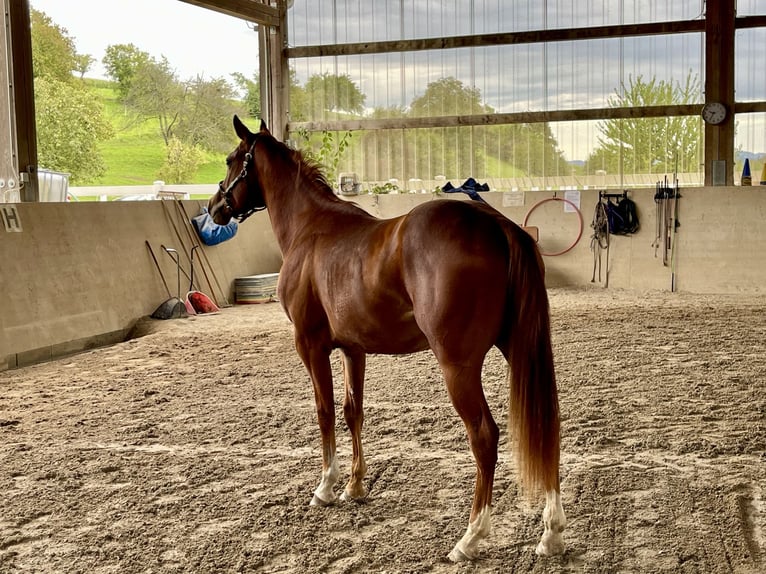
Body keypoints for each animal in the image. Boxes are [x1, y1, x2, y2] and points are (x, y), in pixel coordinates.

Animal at [208, 115, 566, 561]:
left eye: (230, 160)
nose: (214, 207)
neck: (311, 228)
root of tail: (497, 226)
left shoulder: (309, 344)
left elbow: (324, 411)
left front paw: (326, 488)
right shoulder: (353, 349)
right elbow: (352, 412)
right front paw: (355, 485)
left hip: (458, 366)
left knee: (484, 437)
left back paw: (470, 538)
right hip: (519, 349)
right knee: (547, 426)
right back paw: (551, 533)